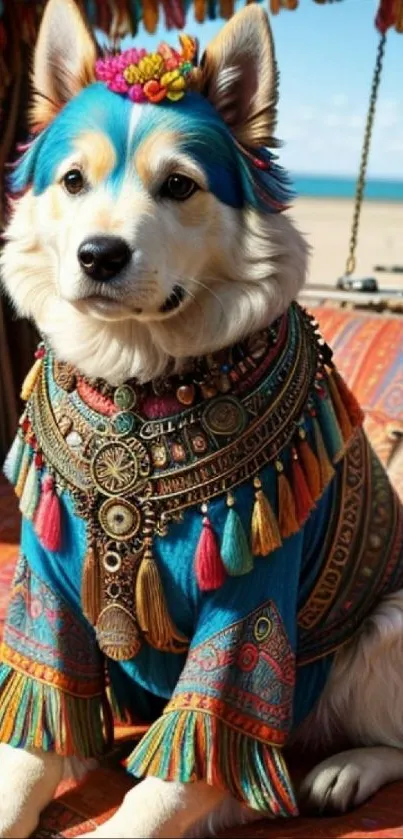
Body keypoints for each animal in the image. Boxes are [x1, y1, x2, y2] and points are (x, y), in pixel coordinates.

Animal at [0, 1, 402, 839]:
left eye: (178, 185)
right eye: (72, 180)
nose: (99, 255)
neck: (135, 388)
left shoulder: (249, 606)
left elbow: (181, 767)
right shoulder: (48, 595)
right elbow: (31, 743)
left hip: (388, 627)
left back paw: (343, 769)